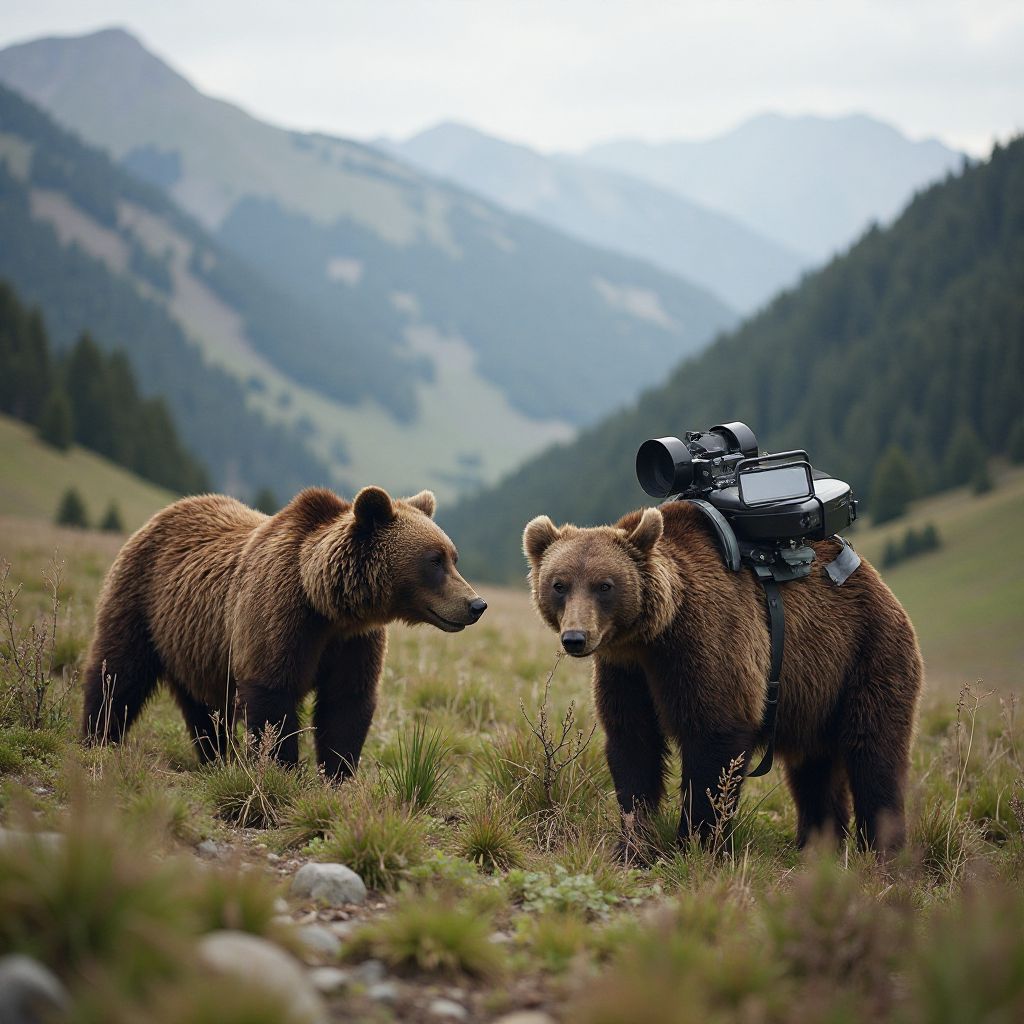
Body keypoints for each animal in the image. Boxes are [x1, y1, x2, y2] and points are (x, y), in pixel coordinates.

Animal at [82, 485, 487, 777]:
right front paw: (282, 769)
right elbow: (272, 698)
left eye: (453, 557)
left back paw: (215, 757)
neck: (327, 604)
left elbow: (346, 703)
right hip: (140, 600)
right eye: (434, 560)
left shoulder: (355, 641)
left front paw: (338, 774)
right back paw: (97, 738)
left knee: (203, 708)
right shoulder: (280, 614)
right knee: (118, 674)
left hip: (194, 644)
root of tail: (167, 511)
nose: (476, 604)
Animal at [523, 500, 923, 854]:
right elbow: (633, 745)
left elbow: (714, 739)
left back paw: (882, 851)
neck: (651, 636)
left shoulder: (707, 642)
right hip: (817, 696)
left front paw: (696, 843)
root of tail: (879, 583)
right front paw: (632, 845)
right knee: (814, 771)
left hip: (865, 657)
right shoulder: (626, 673)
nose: (576, 637)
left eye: (604, 585)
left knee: (873, 754)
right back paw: (817, 845)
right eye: (559, 584)